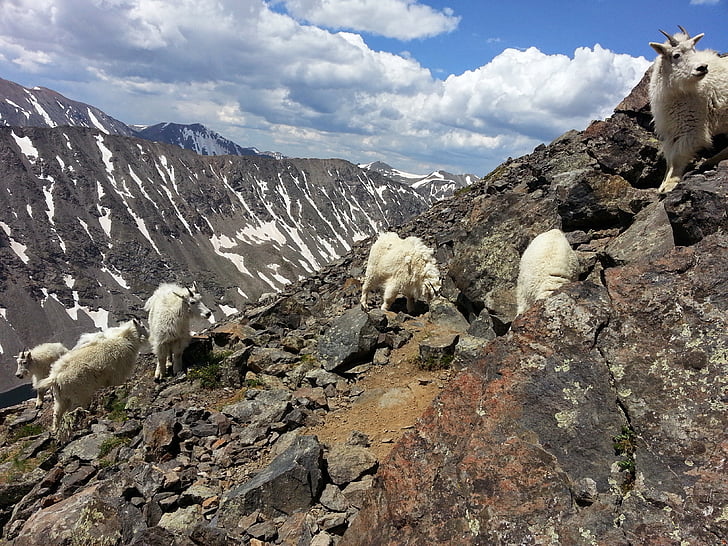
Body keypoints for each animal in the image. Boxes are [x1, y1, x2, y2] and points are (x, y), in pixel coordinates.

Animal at [648, 26, 728, 191]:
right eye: (676, 55)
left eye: (694, 50)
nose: (702, 68)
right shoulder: (671, 129)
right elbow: (669, 158)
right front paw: (663, 183)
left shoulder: (692, 125)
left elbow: (678, 156)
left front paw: (669, 185)